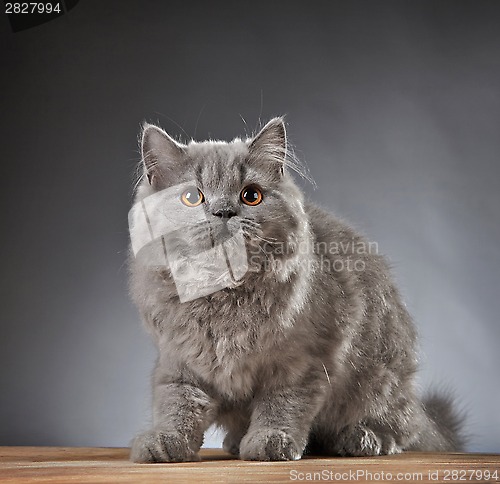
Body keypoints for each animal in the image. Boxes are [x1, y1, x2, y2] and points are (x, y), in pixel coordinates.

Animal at [127, 116, 462, 462]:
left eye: (251, 196)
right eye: (192, 197)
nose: (223, 211)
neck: (226, 295)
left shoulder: (300, 362)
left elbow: (281, 405)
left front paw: (270, 442)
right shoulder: (179, 360)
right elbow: (177, 404)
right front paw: (163, 441)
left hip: (381, 380)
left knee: (399, 428)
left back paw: (362, 439)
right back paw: (235, 441)